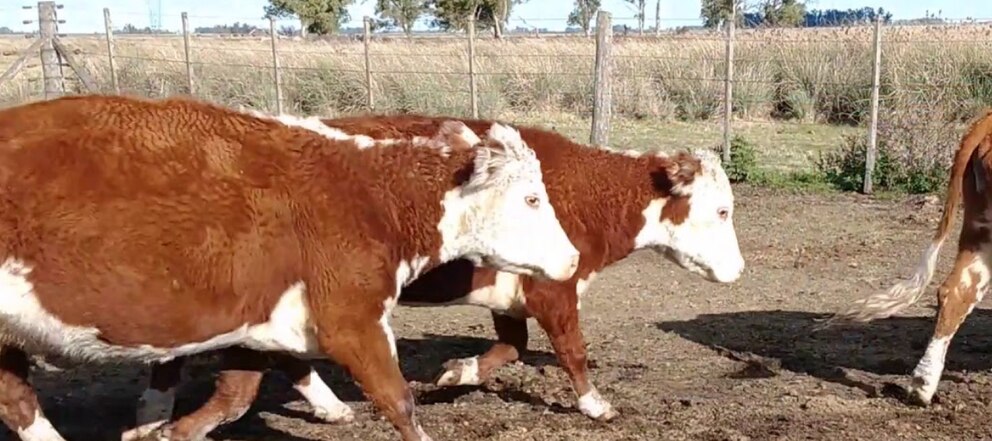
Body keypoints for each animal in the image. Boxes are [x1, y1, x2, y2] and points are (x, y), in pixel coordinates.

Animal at [0, 93, 585, 441]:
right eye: (532, 198)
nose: (573, 257)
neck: (365, 195)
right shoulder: (352, 319)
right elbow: (398, 400)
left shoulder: (259, 320)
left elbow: (236, 396)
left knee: (18, 398)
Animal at [133, 113, 746, 436]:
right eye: (722, 210)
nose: (739, 270)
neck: (585, 194)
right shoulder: (554, 287)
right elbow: (571, 349)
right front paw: (594, 403)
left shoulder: (511, 291)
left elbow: (513, 347)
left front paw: (458, 373)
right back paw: (151, 415)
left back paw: (327, 406)